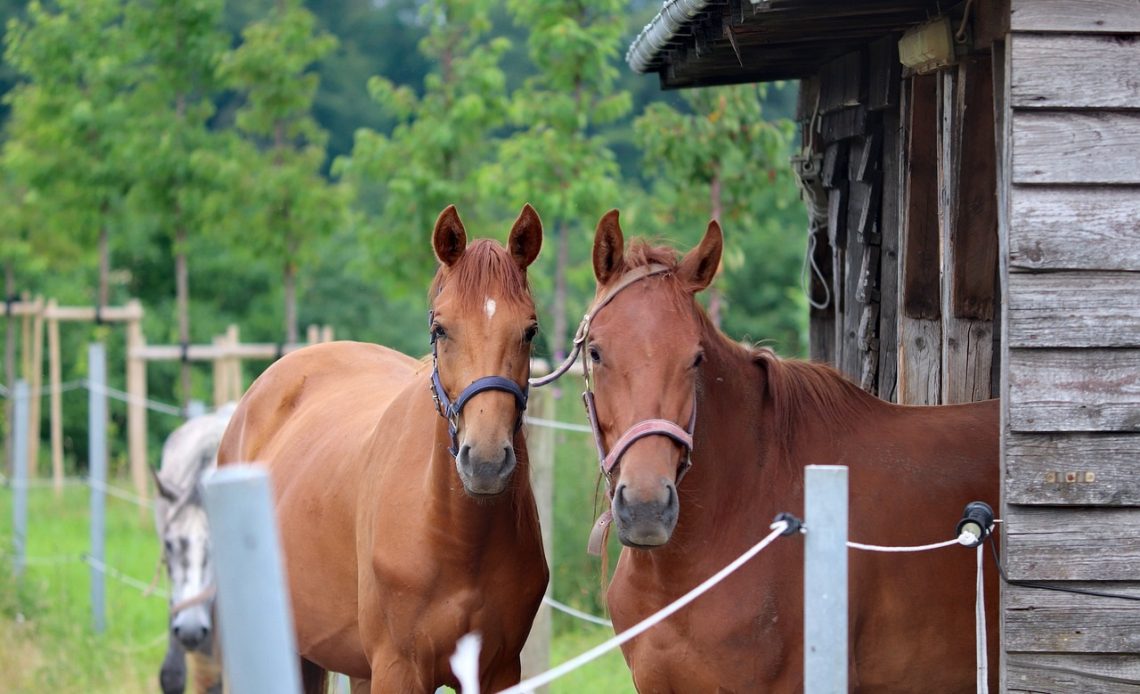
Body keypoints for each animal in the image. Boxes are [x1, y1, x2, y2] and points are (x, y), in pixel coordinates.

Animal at [216, 202, 551, 688]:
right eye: (440, 329)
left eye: (530, 331)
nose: (486, 462)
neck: (456, 538)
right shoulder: (398, 669)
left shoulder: (501, 670)